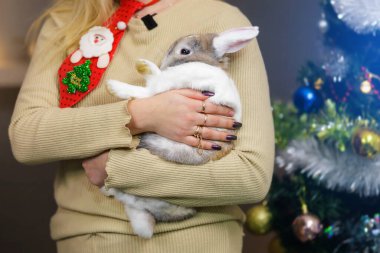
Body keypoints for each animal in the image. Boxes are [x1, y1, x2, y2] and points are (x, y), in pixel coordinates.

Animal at [102, 26, 260, 238]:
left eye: (184, 51)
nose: (164, 63)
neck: (203, 63)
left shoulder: (167, 85)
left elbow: (148, 90)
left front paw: (131, 73)